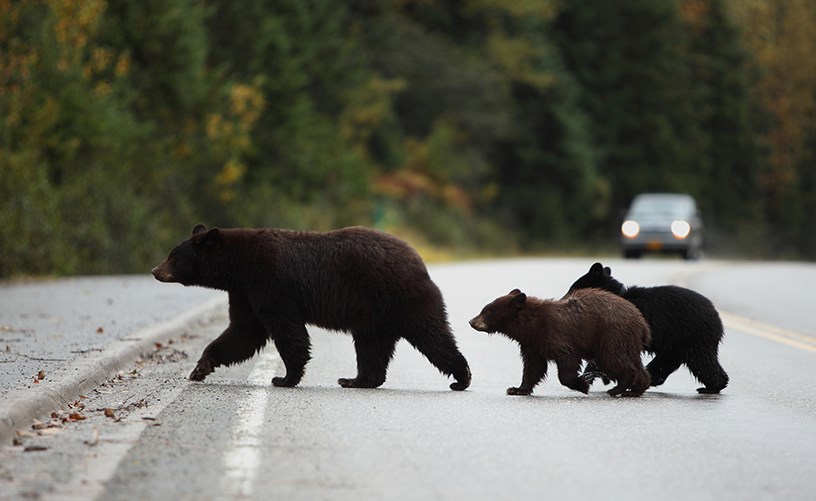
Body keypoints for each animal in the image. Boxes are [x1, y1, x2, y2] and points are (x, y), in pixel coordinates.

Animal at [151, 224, 472, 390]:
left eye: (173, 255)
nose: (155, 270)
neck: (237, 266)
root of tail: (418, 259)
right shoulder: (243, 292)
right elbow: (243, 331)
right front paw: (200, 368)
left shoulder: (270, 282)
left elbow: (286, 330)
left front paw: (284, 377)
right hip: (374, 315)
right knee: (372, 347)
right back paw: (356, 380)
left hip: (401, 297)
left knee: (432, 335)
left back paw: (462, 377)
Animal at [466, 288, 652, 396]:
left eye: (487, 311)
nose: (471, 321)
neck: (531, 325)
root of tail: (642, 323)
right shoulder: (532, 344)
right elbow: (533, 367)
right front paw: (517, 389)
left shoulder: (555, 335)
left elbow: (567, 360)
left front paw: (582, 385)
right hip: (626, 341)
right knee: (633, 363)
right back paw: (636, 389)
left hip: (611, 336)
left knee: (615, 360)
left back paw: (617, 389)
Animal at [572, 262, 728, 394]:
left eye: (573, 288)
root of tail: (717, 317)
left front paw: (587, 376)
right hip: (677, 344)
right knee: (667, 362)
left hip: (693, 336)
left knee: (701, 362)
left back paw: (712, 387)